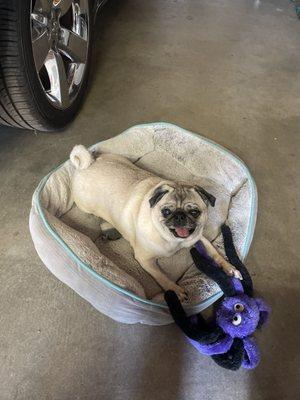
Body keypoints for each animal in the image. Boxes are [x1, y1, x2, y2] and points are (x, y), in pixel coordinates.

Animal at [69, 145, 241, 302]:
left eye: (194, 212)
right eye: (166, 211)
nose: (180, 216)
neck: (173, 241)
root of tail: (88, 164)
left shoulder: (199, 238)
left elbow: (215, 253)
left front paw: (229, 268)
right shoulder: (145, 259)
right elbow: (161, 276)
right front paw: (175, 290)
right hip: (87, 207)